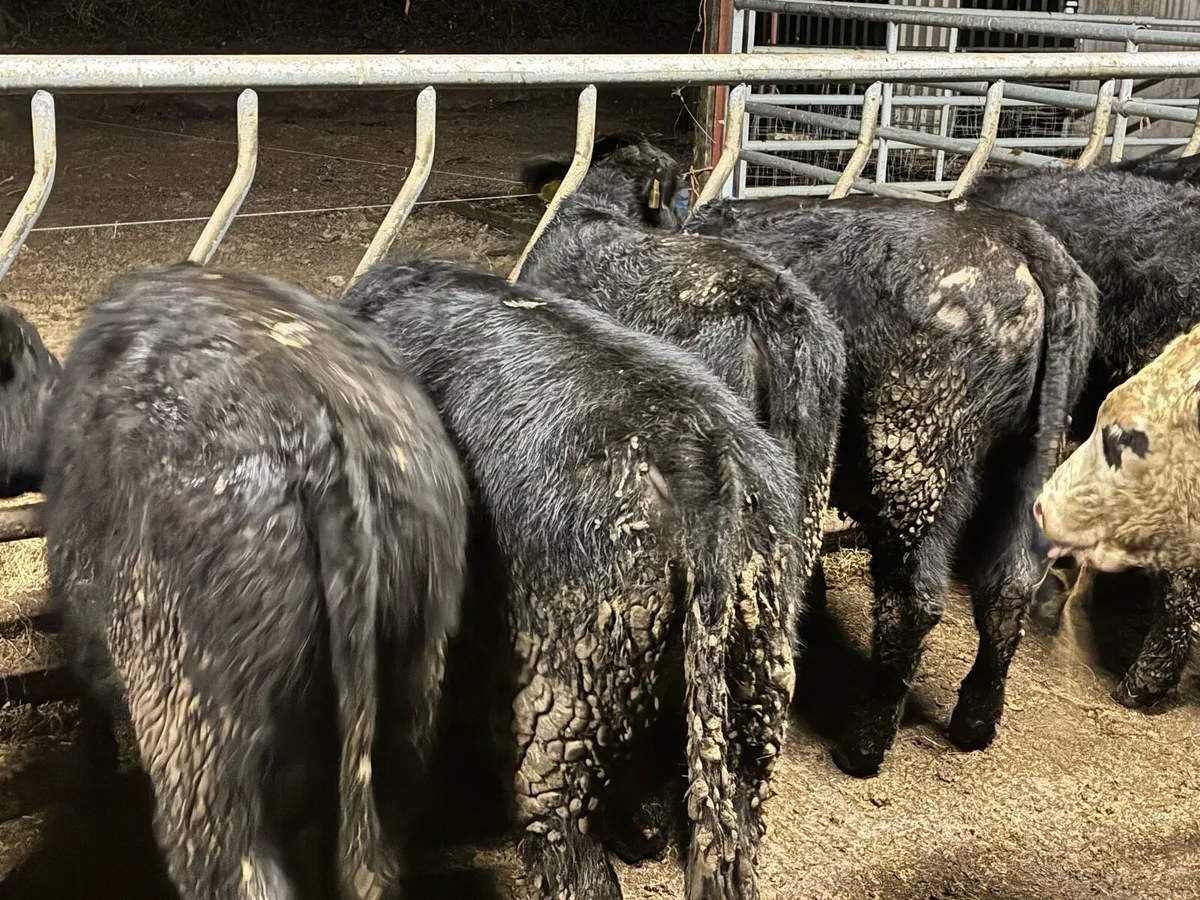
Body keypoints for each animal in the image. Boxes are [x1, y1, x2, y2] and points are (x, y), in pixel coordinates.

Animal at [685, 191, 1097, 777]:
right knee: (1009, 585)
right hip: (1033, 462)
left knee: (913, 600)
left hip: (914, 460)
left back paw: (862, 744)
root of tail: (1023, 241)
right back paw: (974, 723)